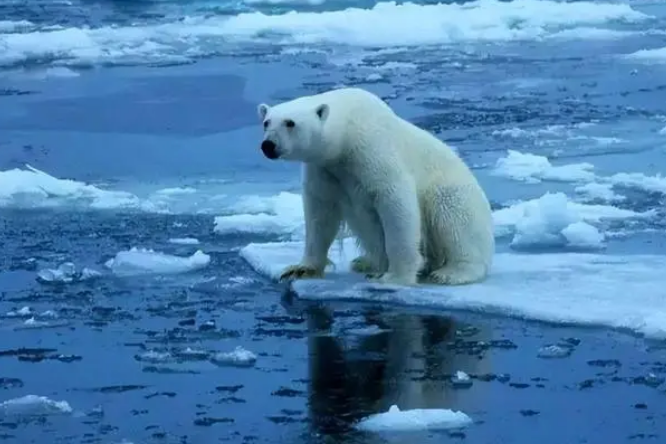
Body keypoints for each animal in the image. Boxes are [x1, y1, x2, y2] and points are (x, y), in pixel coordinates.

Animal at [254, 87, 492, 284]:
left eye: (290, 122)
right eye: (266, 122)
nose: (268, 145)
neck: (346, 135)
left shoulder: (373, 151)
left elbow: (396, 204)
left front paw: (396, 276)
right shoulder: (323, 169)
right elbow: (319, 214)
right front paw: (300, 269)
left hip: (455, 193)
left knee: (453, 220)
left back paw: (449, 273)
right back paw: (363, 262)